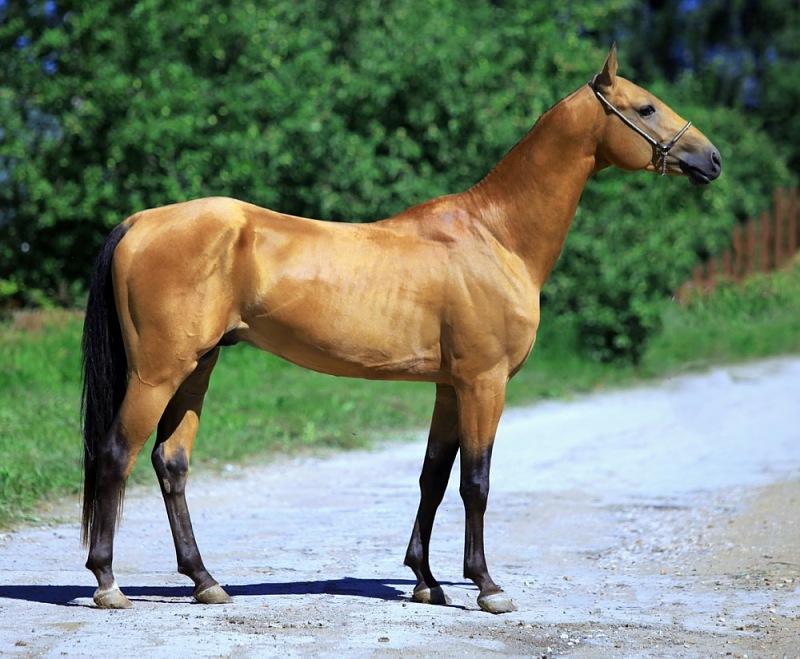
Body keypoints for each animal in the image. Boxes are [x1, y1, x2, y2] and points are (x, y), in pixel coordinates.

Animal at [80, 45, 721, 614]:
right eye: (645, 108)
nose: (711, 159)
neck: (495, 236)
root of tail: (140, 221)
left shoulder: (449, 387)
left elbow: (432, 478)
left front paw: (426, 581)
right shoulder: (484, 383)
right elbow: (476, 482)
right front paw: (486, 586)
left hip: (198, 367)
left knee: (170, 462)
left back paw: (205, 581)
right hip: (158, 373)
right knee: (115, 454)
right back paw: (108, 583)